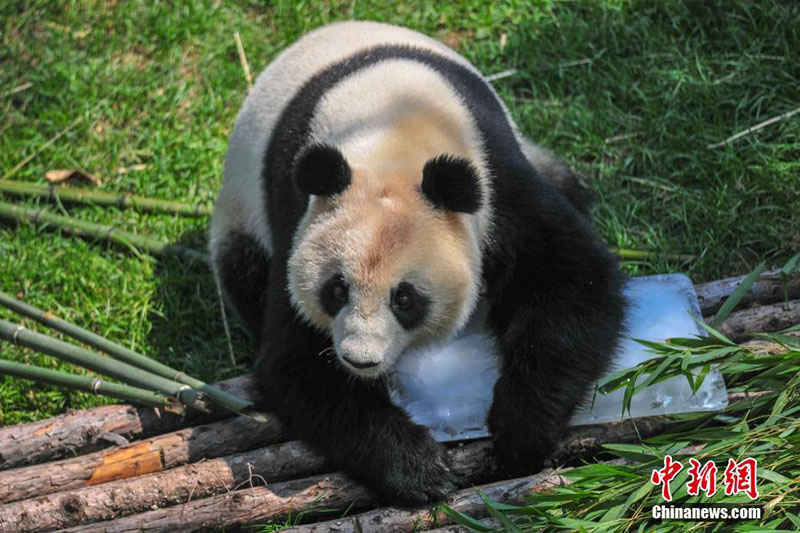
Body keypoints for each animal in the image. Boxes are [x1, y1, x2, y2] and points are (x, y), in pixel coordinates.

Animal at [209, 21, 625, 506]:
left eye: (404, 298)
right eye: (336, 289)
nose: (360, 360)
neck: (393, 136)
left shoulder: (497, 184)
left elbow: (572, 282)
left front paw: (520, 434)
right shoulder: (295, 216)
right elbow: (297, 362)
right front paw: (421, 468)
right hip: (242, 213)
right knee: (243, 269)